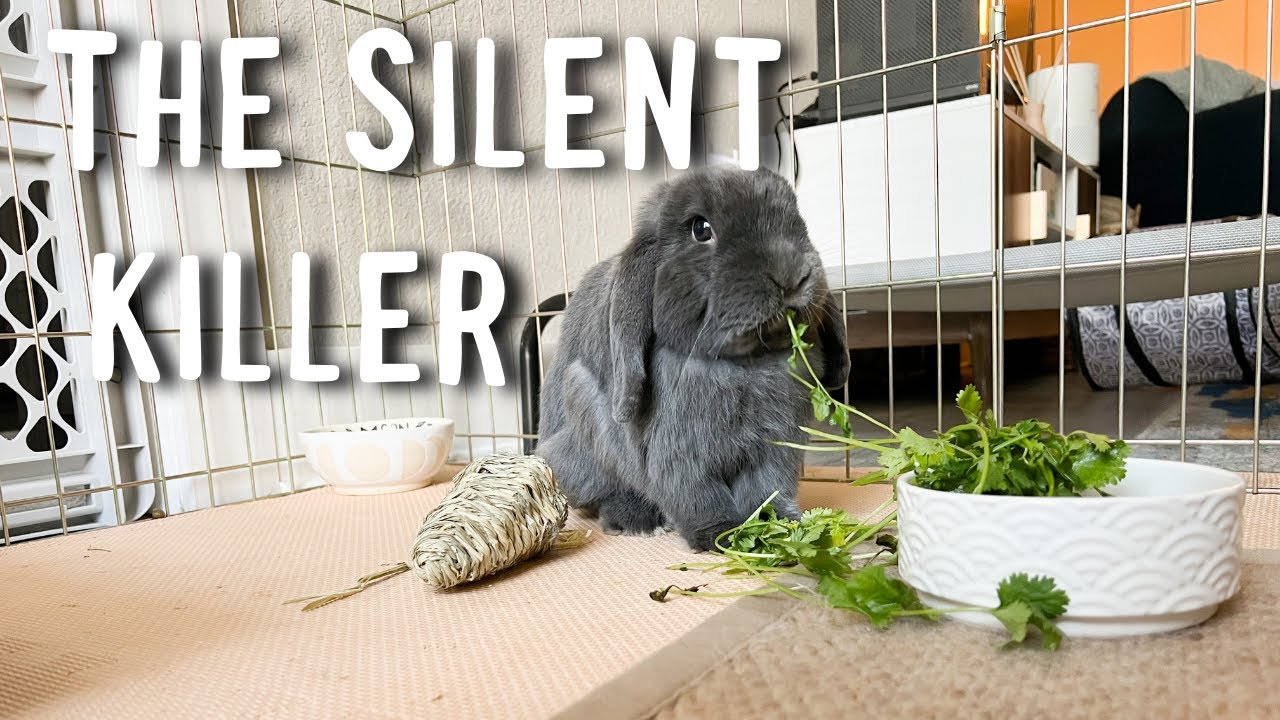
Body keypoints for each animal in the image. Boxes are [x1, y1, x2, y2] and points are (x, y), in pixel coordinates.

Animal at [536, 166, 850, 552]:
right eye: (700, 229)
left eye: (796, 216)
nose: (792, 276)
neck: (746, 362)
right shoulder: (679, 454)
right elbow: (696, 495)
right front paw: (720, 535)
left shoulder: (775, 448)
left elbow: (767, 488)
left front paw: (776, 524)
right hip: (581, 425)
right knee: (602, 496)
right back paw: (635, 519)